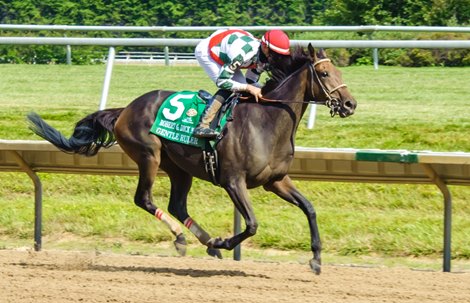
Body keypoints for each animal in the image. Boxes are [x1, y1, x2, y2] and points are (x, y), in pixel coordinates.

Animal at [26, 44, 356, 276]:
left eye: (340, 73)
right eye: (325, 74)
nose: (350, 104)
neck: (268, 121)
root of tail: (125, 109)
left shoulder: (275, 180)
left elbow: (309, 208)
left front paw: (316, 259)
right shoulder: (233, 181)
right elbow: (251, 224)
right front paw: (224, 242)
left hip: (179, 168)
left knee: (177, 205)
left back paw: (206, 242)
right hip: (149, 155)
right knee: (144, 199)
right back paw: (184, 239)